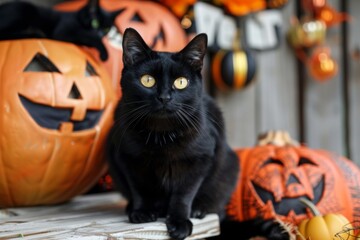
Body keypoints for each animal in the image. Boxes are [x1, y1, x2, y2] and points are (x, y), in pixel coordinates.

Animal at [107, 28, 240, 240]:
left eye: (181, 82)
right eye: (147, 80)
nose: (164, 97)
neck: (161, 134)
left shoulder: (200, 160)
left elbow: (183, 194)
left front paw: (179, 222)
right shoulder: (126, 158)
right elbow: (139, 188)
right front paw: (142, 212)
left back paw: (199, 209)